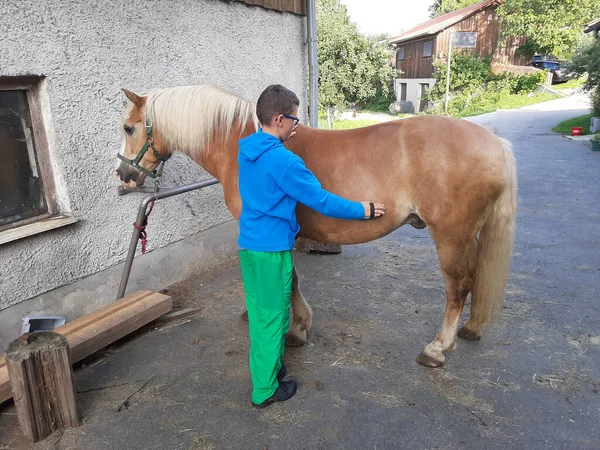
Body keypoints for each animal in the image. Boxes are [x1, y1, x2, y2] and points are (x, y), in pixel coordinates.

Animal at [116, 85, 516, 370]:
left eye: (128, 127)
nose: (124, 176)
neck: (245, 145)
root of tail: (496, 143)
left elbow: (289, 279)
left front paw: (295, 329)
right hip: (470, 235)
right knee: (476, 277)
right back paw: (470, 329)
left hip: (450, 236)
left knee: (458, 286)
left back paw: (436, 348)